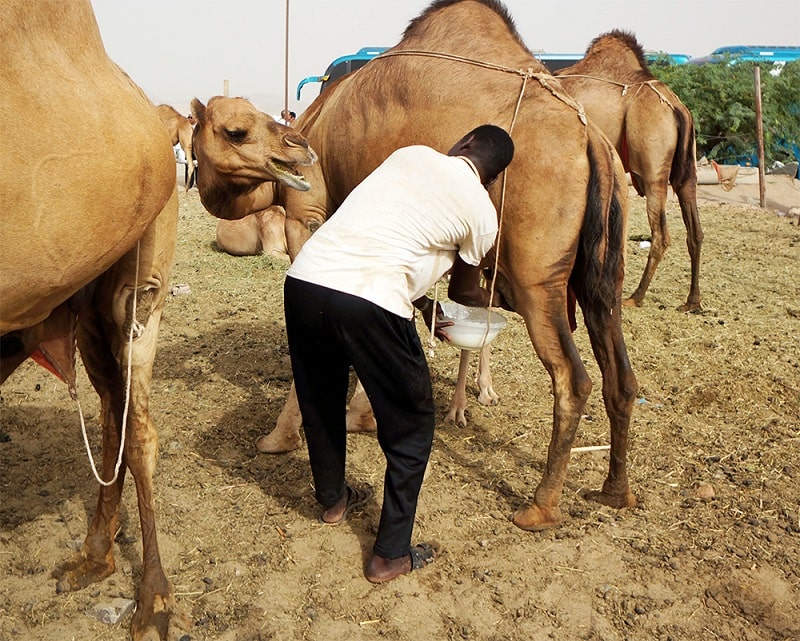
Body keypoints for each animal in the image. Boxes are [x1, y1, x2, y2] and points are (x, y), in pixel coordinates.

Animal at [0, 2, 316, 636]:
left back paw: (151, 601)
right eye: (237, 129)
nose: (300, 150)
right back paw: (94, 559)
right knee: (115, 411)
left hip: (135, 277)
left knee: (136, 422)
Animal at [192, 0, 636, 528]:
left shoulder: (310, 217)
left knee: (573, 377)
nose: (298, 151)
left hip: (537, 277)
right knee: (620, 375)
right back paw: (615, 490)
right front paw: (365, 414)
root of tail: (593, 142)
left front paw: (281, 438)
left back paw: (540, 506)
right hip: (602, 272)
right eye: (238, 128)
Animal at [552, 31, 704, 312]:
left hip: (653, 172)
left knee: (660, 234)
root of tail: (678, 109)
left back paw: (636, 296)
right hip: (687, 172)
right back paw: (692, 301)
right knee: (695, 231)